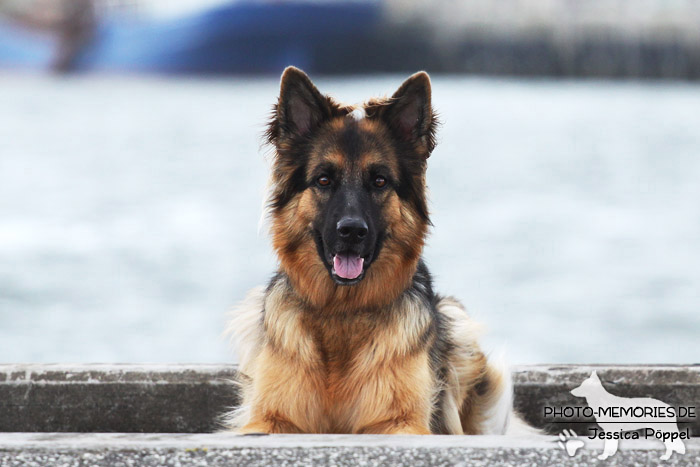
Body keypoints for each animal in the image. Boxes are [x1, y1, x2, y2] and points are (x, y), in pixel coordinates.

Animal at [224, 66, 532, 436]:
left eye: (380, 181)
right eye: (324, 180)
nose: (352, 231)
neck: (343, 314)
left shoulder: (400, 423)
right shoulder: (270, 419)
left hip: (458, 325)